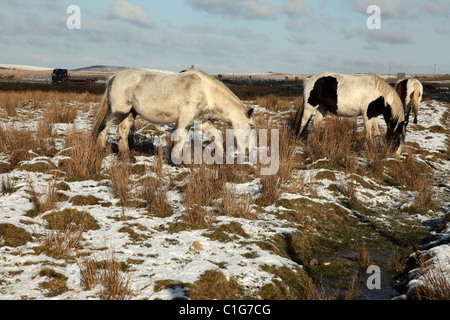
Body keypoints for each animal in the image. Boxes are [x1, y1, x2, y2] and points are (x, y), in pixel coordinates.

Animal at [92, 66, 253, 159]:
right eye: (251, 127)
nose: (248, 150)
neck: (206, 92)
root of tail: (114, 76)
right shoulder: (185, 119)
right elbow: (181, 138)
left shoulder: (202, 121)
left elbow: (216, 136)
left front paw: (221, 157)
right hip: (119, 110)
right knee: (104, 127)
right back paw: (100, 150)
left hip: (130, 113)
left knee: (123, 130)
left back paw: (127, 156)